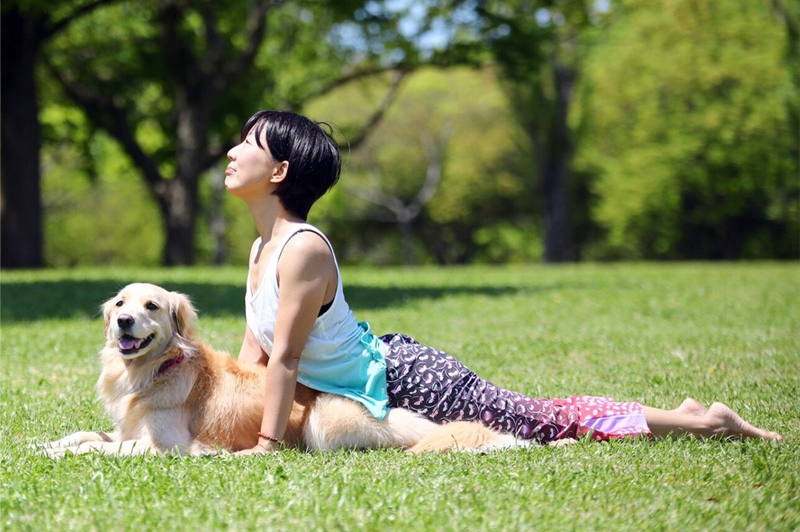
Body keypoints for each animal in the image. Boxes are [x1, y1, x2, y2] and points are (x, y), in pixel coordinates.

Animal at [40, 282, 536, 458]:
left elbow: (97, 448)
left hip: (324, 421)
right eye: (120, 303)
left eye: (152, 307)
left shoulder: (166, 447)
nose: (123, 321)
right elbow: (85, 435)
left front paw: (59, 454)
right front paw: (44, 443)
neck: (155, 369)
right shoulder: (127, 429)